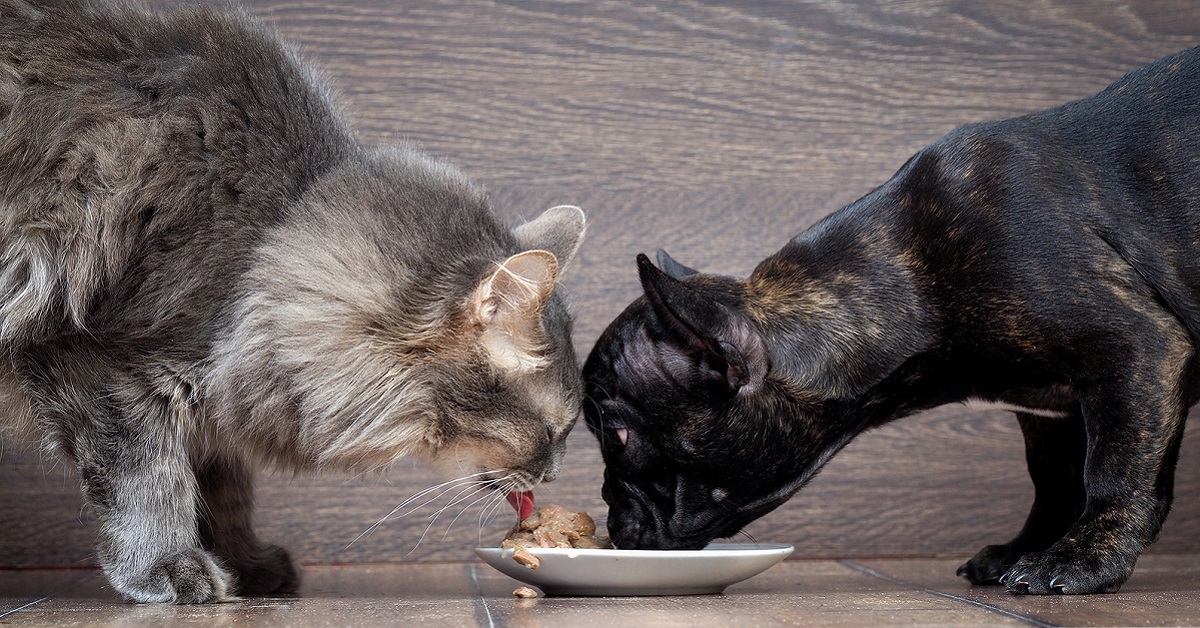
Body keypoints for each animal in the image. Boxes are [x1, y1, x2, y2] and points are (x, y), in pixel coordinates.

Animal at [0, 0, 585, 605]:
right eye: (553, 430)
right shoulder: (101, 364)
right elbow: (149, 480)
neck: (268, 240)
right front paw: (166, 567)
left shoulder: (216, 398)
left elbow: (223, 491)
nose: (554, 475)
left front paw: (245, 565)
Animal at [580, 48, 1200, 595]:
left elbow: (1113, 470)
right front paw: (1025, 548)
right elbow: (1053, 483)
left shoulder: (1134, 346)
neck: (914, 283)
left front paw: (1082, 559)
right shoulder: (1050, 411)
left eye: (615, 435)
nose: (608, 514)